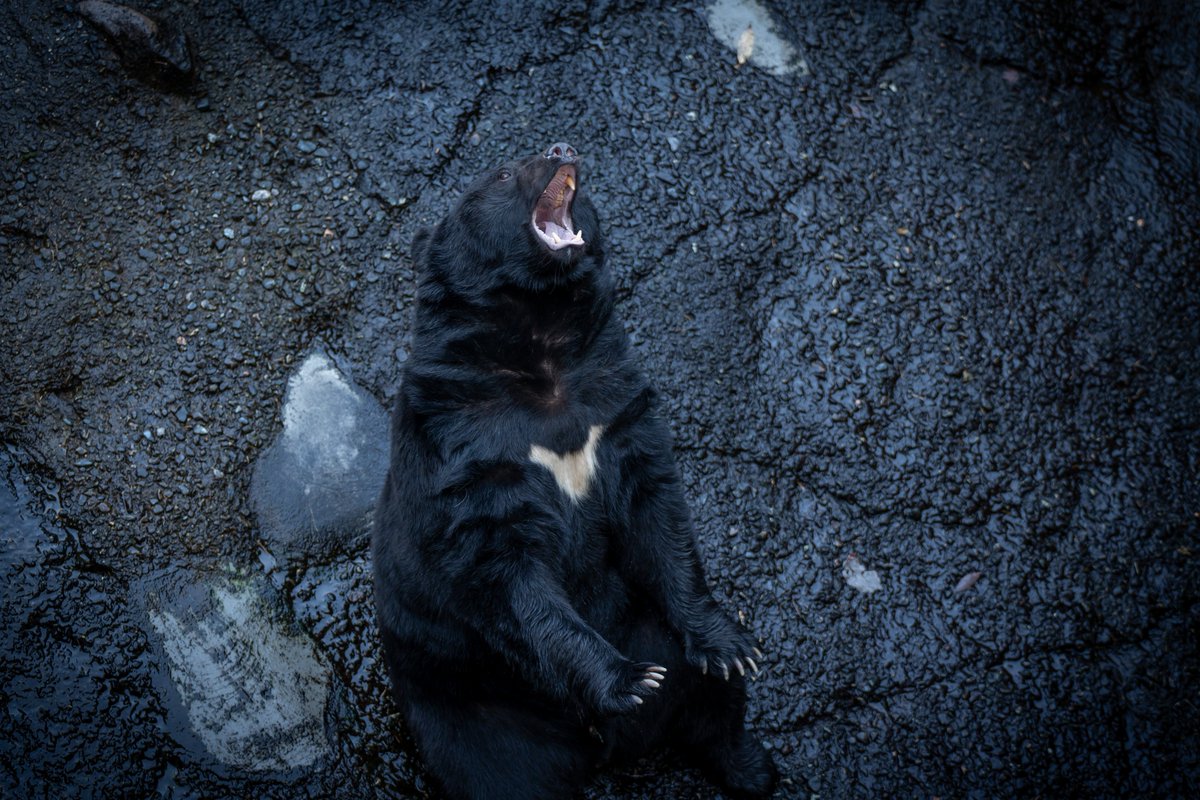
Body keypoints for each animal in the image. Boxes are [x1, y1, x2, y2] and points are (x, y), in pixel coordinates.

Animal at [372, 142, 778, 800]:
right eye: (503, 173)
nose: (562, 149)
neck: (539, 337)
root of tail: (609, 749)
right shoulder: (463, 445)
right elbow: (505, 572)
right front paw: (630, 680)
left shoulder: (611, 404)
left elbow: (656, 512)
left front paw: (727, 644)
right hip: (472, 710)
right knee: (501, 774)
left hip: (646, 625)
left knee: (712, 704)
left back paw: (750, 764)